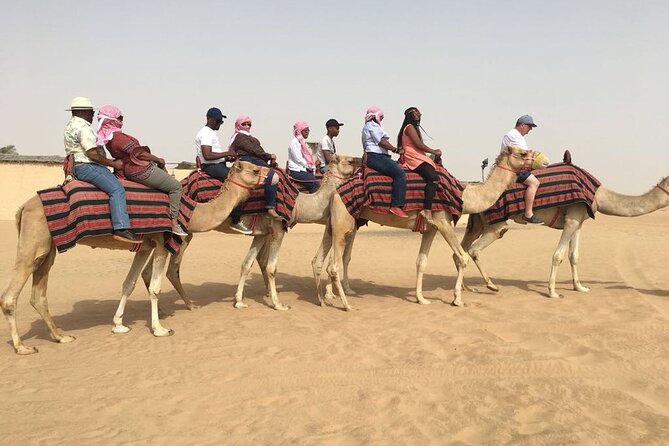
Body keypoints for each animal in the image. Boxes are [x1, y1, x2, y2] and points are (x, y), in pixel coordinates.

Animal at [3, 161, 268, 356]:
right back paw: (22, 347)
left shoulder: (144, 246)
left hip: (47, 249)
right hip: (33, 241)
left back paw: (61, 336)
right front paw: (160, 329)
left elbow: (128, 283)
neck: (192, 211)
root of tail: (22, 208)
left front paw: (119, 324)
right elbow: (155, 287)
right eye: (255, 169)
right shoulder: (161, 241)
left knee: (38, 294)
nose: (271, 175)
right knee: (9, 296)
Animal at [141, 155, 358, 312]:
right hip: (185, 233)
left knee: (149, 269)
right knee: (172, 269)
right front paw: (278, 304)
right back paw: (189, 305)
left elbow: (246, 264)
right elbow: (271, 267)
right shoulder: (277, 228)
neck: (298, 204)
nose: (359, 163)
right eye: (350, 161)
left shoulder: (261, 233)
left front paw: (238, 301)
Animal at [320, 146, 528, 310]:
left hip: (340, 224)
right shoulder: (442, 220)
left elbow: (421, 262)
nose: (536, 161)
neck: (464, 195)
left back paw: (331, 296)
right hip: (343, 223)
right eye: (523, 153)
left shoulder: (431, 228)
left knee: (332, 258)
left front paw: (421, 299)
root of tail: (336, 191)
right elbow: (462, 257)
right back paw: (345, 304)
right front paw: (457, 299)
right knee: (334, 264)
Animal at [462, 176, 668, 298]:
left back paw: (466, 288)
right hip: (495, 223)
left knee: (463, 248)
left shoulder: (579, 220)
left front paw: (580, 287)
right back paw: (491, 285)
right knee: (475, 248)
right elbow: (558, 255)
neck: (599, 196)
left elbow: (573, 256)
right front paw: (552, 291)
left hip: (477, 221)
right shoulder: (572, 218)